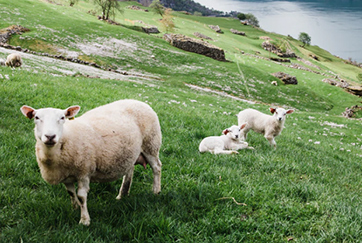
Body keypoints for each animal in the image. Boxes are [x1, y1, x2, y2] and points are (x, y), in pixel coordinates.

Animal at [19, 99, 161, 226]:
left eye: (62, 117)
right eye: (36, 117)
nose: (50, 136)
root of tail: (140, 102)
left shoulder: (84, 171)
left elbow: (81, 196)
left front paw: (84, 220)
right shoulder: (65, 175)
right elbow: (71, 193)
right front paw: (74, 208)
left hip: (151, 144)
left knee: (157, 167)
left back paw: (156, 191)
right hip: (130, 152)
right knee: (130, 170)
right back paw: (122, 194)